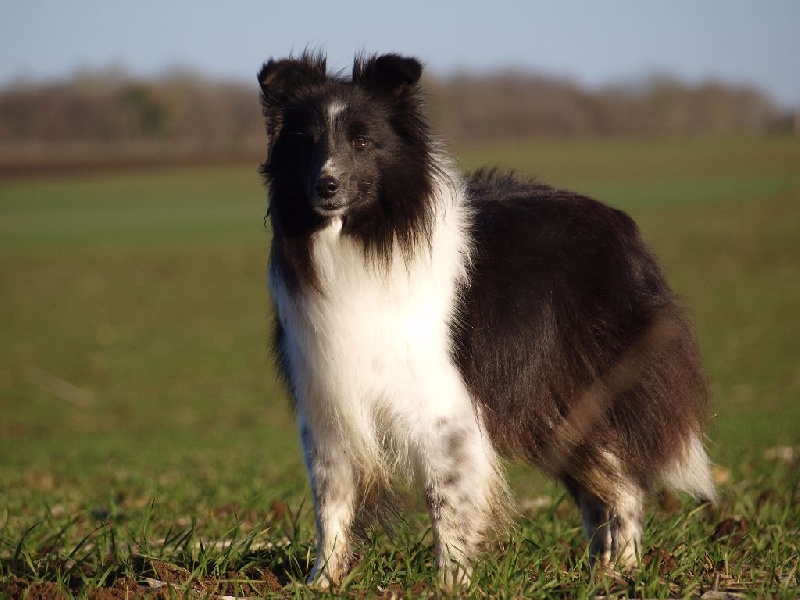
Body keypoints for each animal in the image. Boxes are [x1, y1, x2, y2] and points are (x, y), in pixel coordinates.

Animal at [256, 52, 712, 592]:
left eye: (362, 141)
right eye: (306, 141)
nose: (325, 185)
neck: (365, 239)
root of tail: (621, 227)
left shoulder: (442, 404)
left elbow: (446, 499)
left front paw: (450, 583)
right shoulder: (327, 403)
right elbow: (331, 503)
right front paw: (322, 582)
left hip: (595, 390)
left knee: (623, 485)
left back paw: (622, 571)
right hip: (554, 411)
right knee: (597, 488)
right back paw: (597, 570)